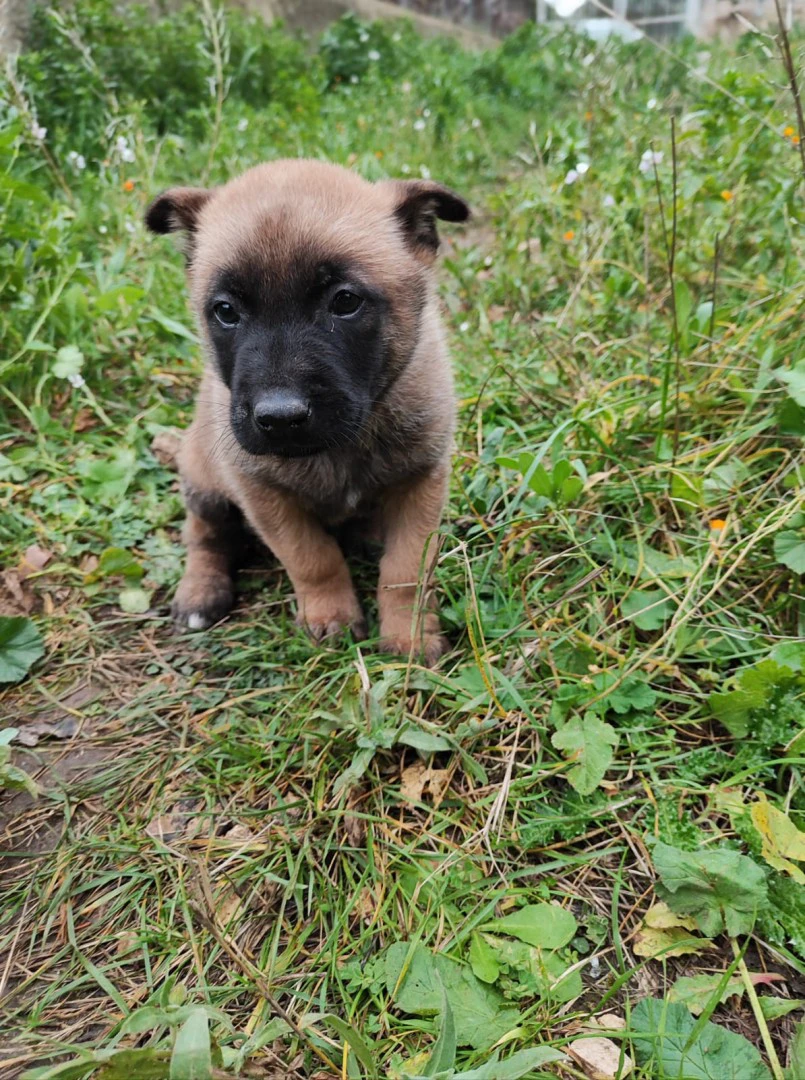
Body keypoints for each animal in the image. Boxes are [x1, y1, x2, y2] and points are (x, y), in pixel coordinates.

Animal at [148, 157, 468, 665]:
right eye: (225, 311)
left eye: (345, 301)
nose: (280, 418)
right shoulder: (261, 493)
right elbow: (313, 558)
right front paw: (331, 616)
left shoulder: (421, 482)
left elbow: (406, 569)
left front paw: (410, 637)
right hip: (204, 480)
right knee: (204, 534)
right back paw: (199, 592)